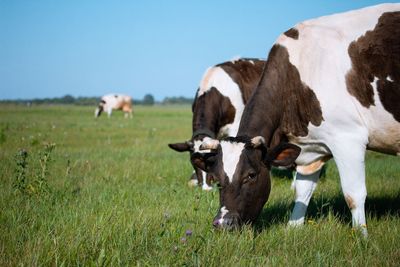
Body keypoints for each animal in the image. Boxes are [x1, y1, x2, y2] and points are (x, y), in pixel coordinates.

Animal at [191, 2, 400, 237]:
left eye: (251, 175)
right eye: (217, 179)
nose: (222, 223)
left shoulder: (348, 139)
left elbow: (353, 194)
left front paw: (362, 237)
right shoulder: (312, 149)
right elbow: (302, 192)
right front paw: (293, 229)